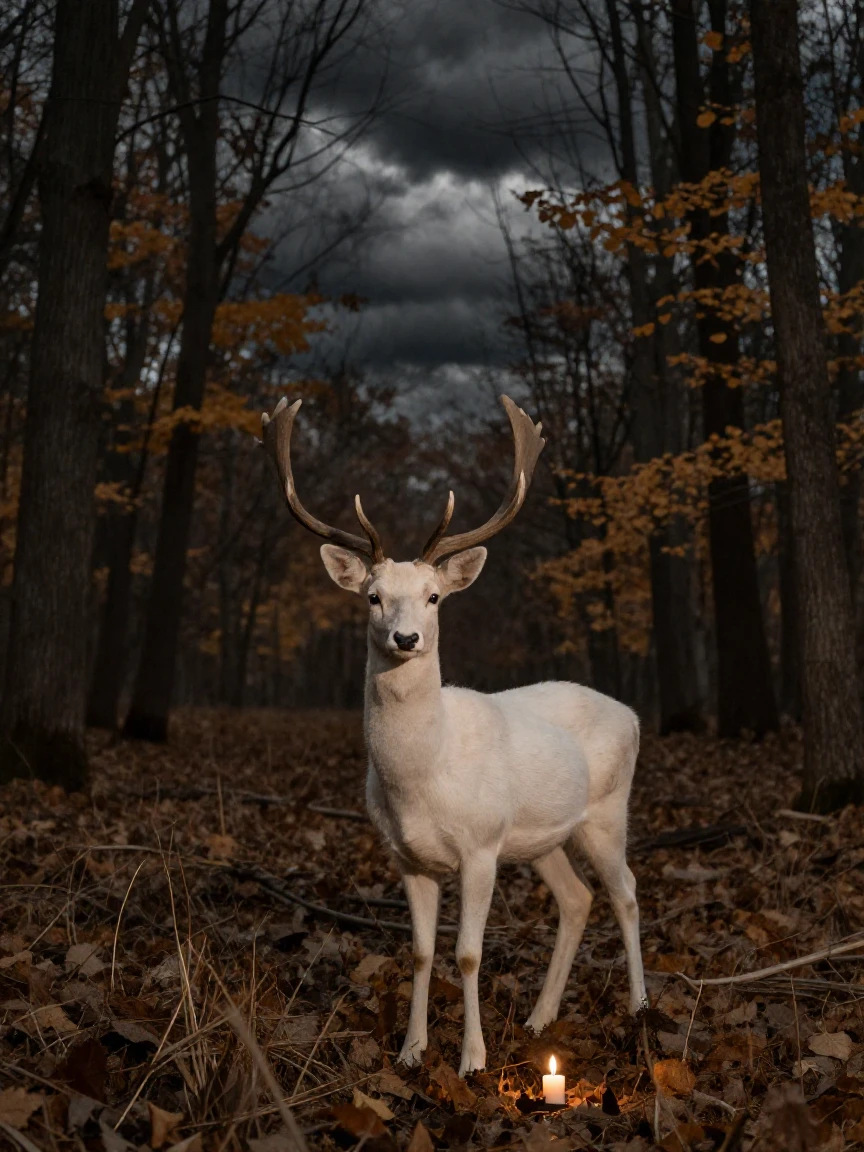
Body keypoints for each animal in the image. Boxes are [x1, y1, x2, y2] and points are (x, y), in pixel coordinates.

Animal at [260, 393, 647, 1078]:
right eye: (372, 597)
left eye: (435, 596)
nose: (406, 637)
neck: (421, 778)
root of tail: (631, 714)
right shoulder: (407, 858)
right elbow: (419, 952)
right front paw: (412, 1051)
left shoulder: (480, 845)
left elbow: (468, 952)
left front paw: (472, 1060)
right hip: (541, 837)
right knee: (578, 899)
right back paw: (540, 1017)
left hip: (607, 809)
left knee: (626, 892)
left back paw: (639, 1008)